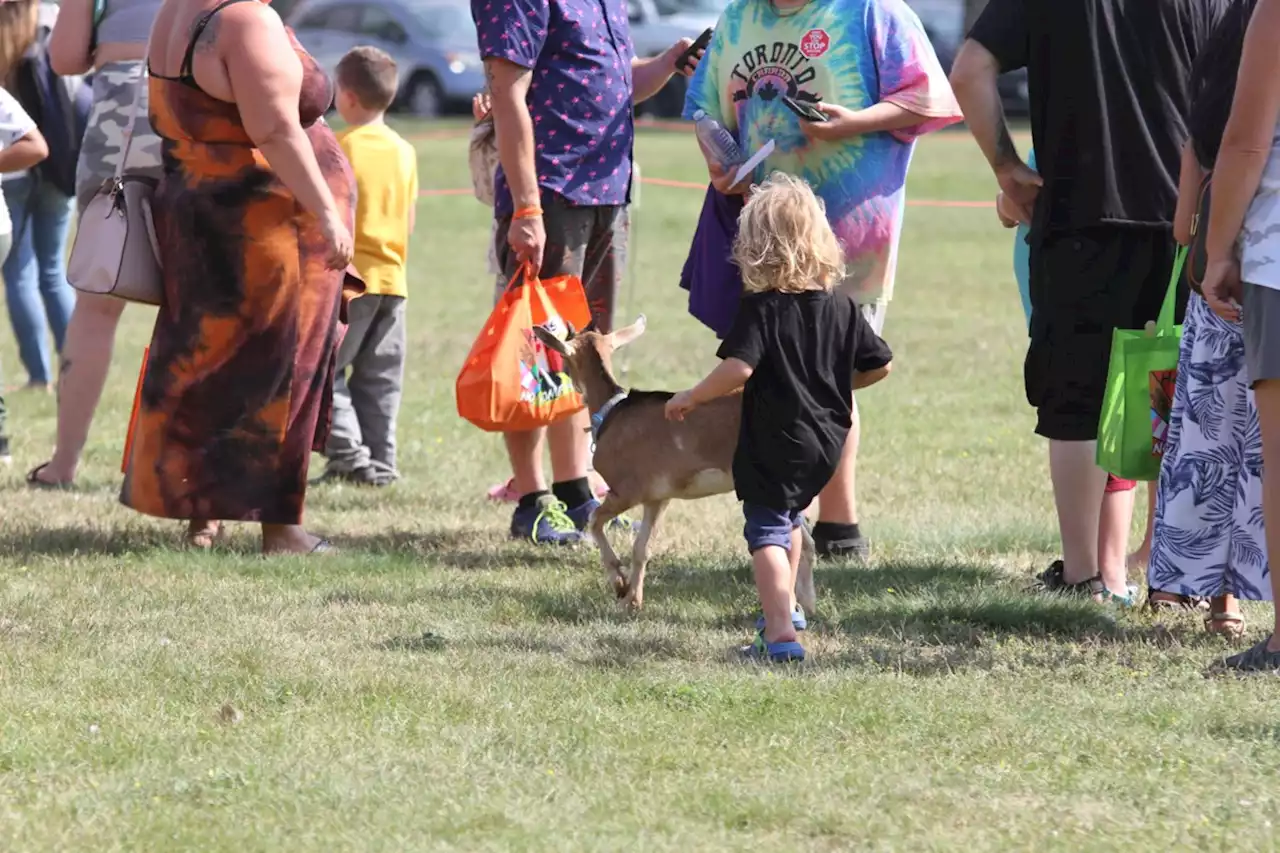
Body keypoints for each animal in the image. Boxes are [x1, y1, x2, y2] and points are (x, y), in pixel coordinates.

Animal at [532, 315, 819, 607]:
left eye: (564, 358)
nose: (564, 378)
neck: (614, 413)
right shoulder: (657, 497)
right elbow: (642, 547)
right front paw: (633, 601)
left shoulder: (626, 491)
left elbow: (594, 519)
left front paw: (620, 585)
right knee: (805, 542)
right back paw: (807, 604)